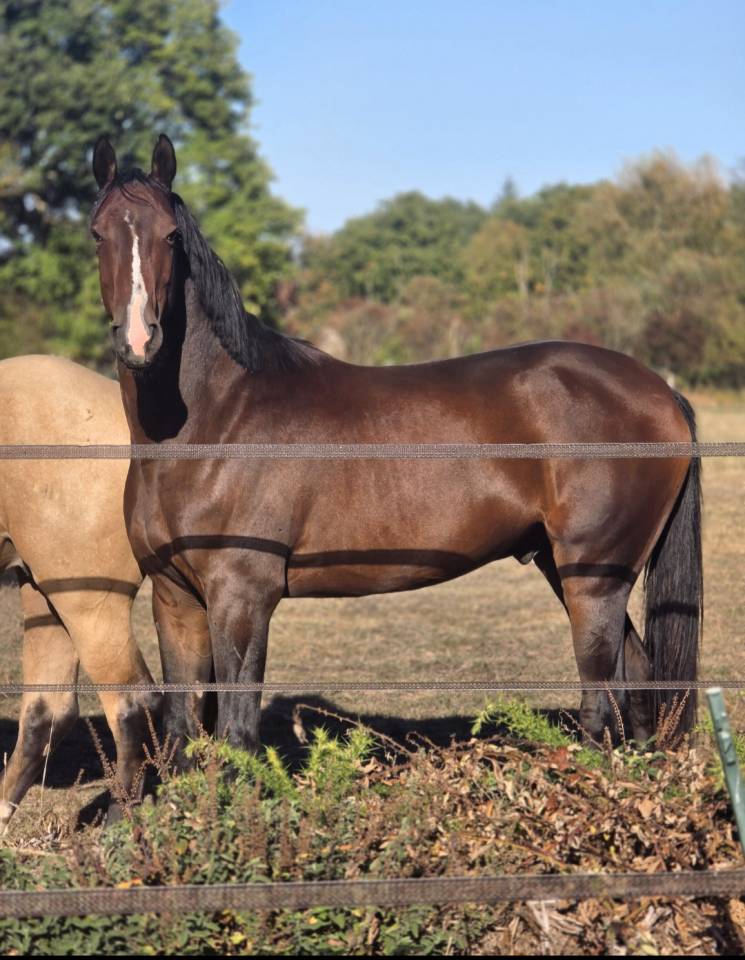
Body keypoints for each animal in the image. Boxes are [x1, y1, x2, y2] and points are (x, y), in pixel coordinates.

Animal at [89, 134, 703, 760]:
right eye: (97, 233)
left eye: (171, 236)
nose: (139, 339)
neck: (214, 421)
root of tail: (660, 391)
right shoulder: (175, 598)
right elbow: (181, 734)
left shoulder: (241, 596)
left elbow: (236, 736)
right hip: (568, 566)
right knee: (639, 684)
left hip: (594, 574)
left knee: (601, 699)